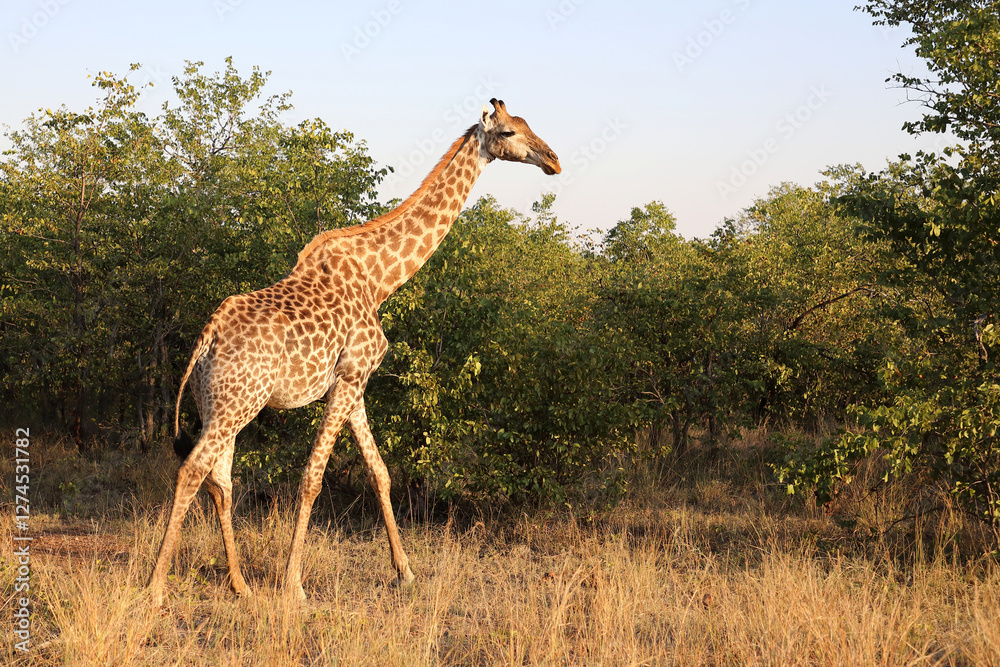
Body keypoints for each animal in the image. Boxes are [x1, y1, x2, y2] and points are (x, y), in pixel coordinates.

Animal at [147, 99, 561, 604]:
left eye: (526, 124)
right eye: (507, 132)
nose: (553, 160)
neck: (380, 279)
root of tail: (206, 338)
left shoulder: (356, 383)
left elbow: (379, 471)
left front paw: (405, 571)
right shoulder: (348, 378)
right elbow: (312, 476)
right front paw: (293, 585)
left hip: (220, 405)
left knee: (220, 480)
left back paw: (240, 585)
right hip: (236, 404)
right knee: (192, 470)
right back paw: (155, 587)